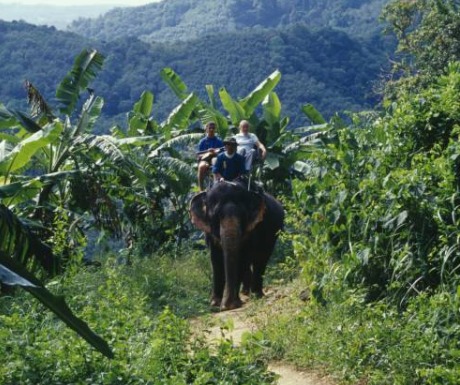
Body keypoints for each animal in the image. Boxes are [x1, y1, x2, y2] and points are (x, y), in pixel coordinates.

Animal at [188, 179, 282, 308]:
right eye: (216, 216)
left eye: (243, 215)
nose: (225, 305)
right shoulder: (209, 233)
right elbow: (216, 260)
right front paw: (215, 303)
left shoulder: (252, 229)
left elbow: (242, 258)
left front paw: (231, 305)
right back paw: (246, 292)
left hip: (273, 234)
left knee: (261, 260)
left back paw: (256, 295)